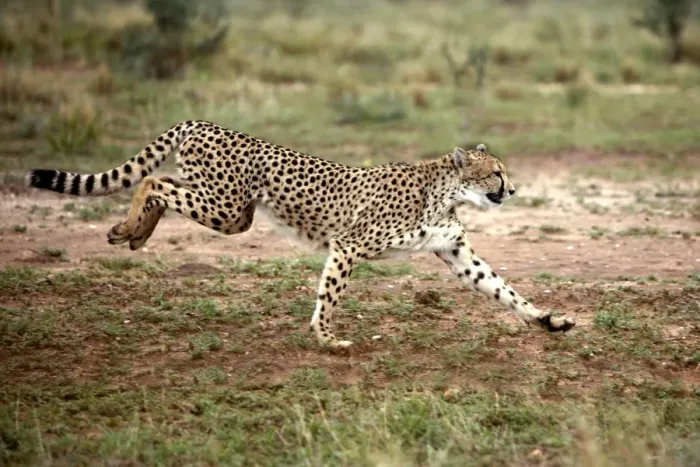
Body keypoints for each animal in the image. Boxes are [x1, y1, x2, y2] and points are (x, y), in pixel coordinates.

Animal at [26, 120, 575, 349]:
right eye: (495, 173)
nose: (512, 188)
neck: (445, 190)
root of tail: (201, 121)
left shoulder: (458, 254)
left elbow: (505, 290)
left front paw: (549, 320)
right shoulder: (349, 244)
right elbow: (329, 294)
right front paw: (327, 339)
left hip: (230, 209)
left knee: (162, 185)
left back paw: (135, 233)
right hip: (227, 209)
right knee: (152, 181)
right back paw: (130, 228)